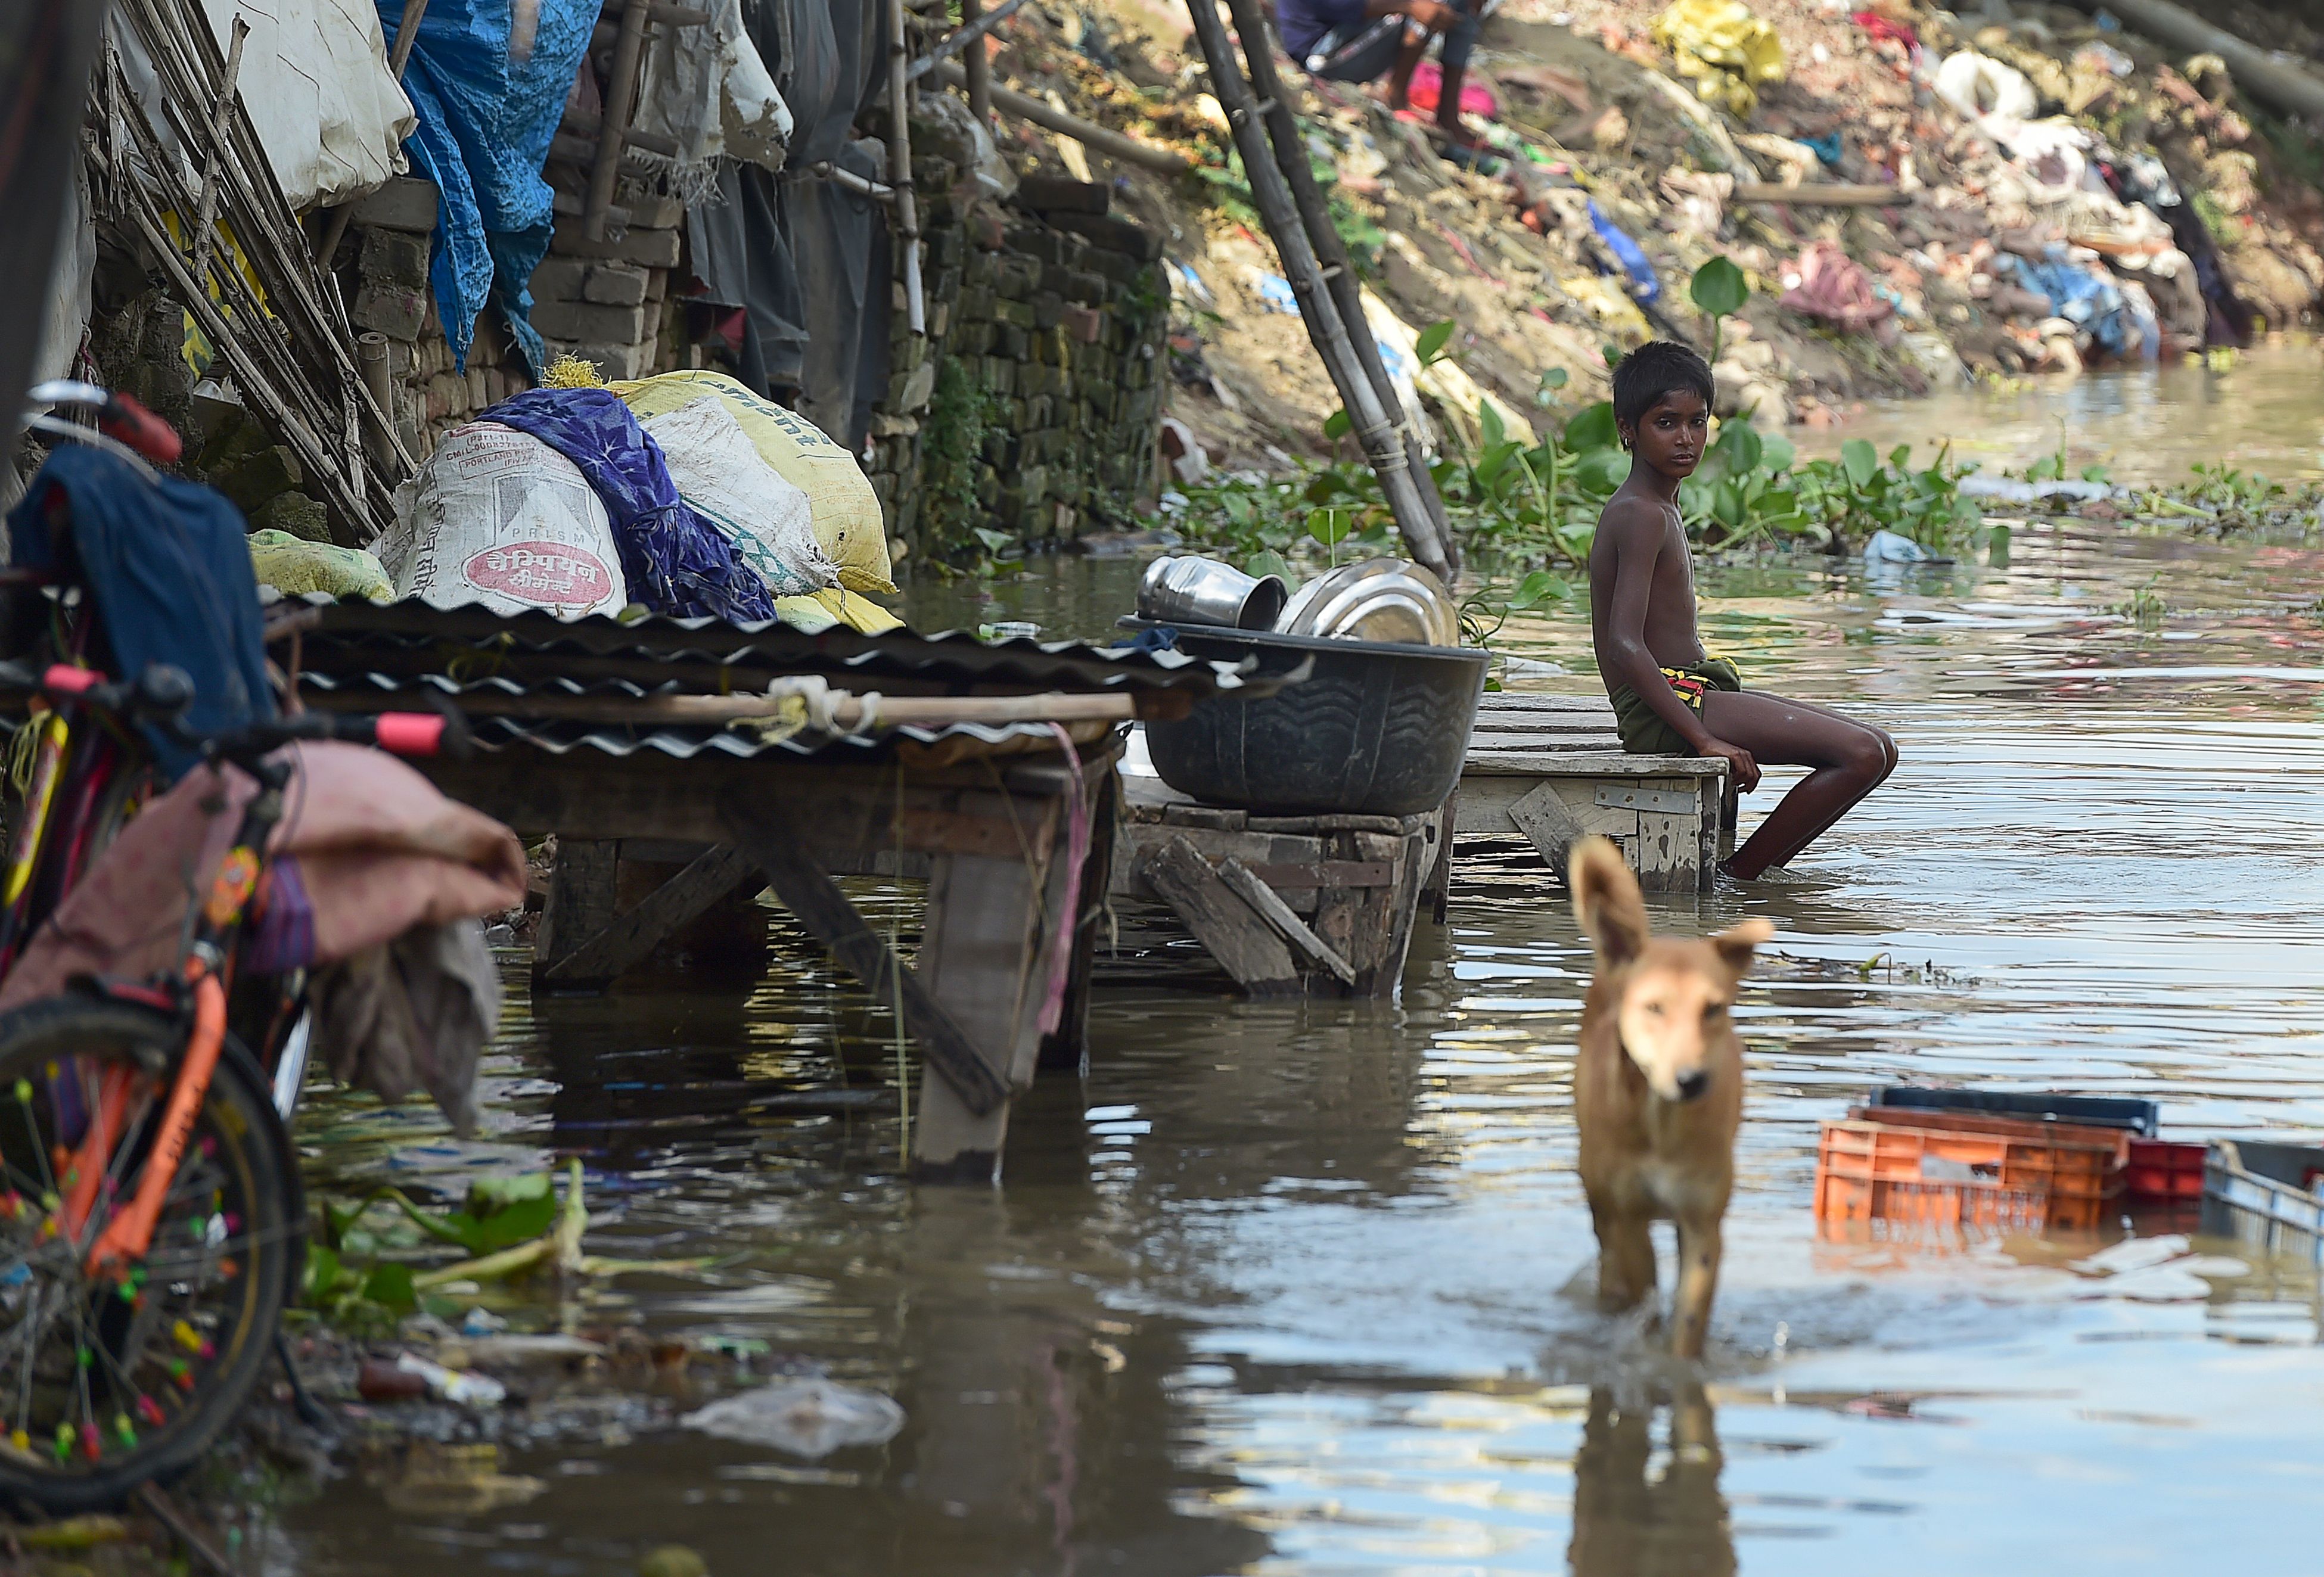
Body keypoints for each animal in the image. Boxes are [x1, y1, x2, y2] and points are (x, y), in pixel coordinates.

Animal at [1571, 831, 1766, 1366]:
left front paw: (1679, 1363)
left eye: (1714, 1008)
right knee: (1607, 1257)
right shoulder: (1628, 1217)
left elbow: (1690, 1315)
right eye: (1654, 1007)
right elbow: (1643, 1285)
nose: (1691, 1079)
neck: (1661, 1121)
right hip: (1599, 1195)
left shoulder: (1703, 1223)